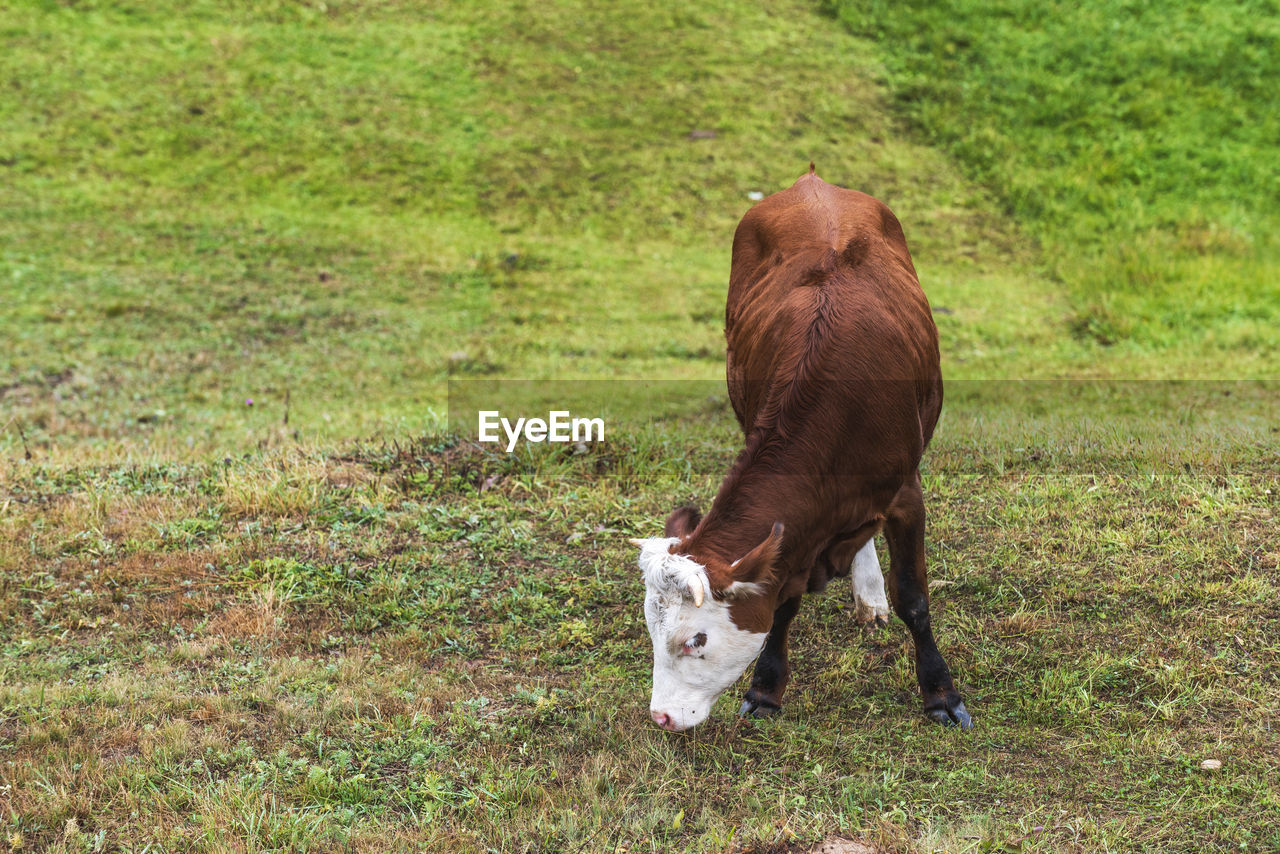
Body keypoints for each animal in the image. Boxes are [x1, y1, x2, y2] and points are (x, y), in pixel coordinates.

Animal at [629, 169, 967, 737]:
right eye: (653, 631)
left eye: (696, 639)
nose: (662, 716)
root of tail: (813, 181)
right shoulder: (790, 535)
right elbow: (782, 601)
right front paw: (766, 687)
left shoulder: (905, 494)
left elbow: (915, 599)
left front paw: (940, 692)